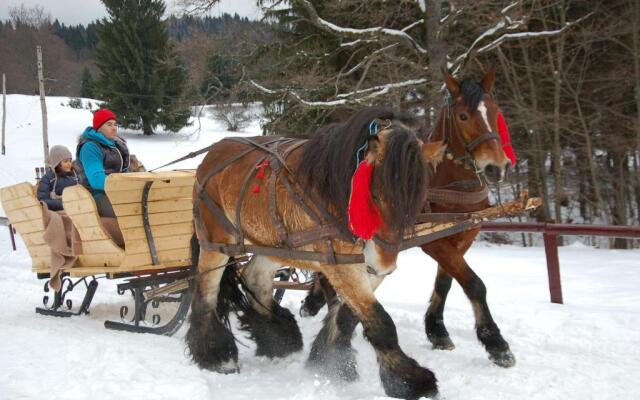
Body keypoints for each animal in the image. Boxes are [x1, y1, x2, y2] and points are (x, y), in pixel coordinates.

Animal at [190, 108, 448, 398]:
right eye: (375, 198)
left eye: (417, 200)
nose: (385, 261)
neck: (339, 192)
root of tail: (212, 154)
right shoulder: (344, 265)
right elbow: (381, 322)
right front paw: (411, 381)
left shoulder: (366, 268)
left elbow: (348, 316)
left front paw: (329, 363)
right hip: (215, 243)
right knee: (206, 291)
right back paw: (216, 355)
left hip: (276, 245)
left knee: (255, 279)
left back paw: (279, 338)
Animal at [302, 65, 516, 368]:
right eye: (463, 116)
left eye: (496, 111)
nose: (496, 167)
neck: (447, 182)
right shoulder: (434, 242)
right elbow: (474, 284)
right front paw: (496, 344)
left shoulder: (460, 238)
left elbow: (445, 283)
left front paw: (437, 330)